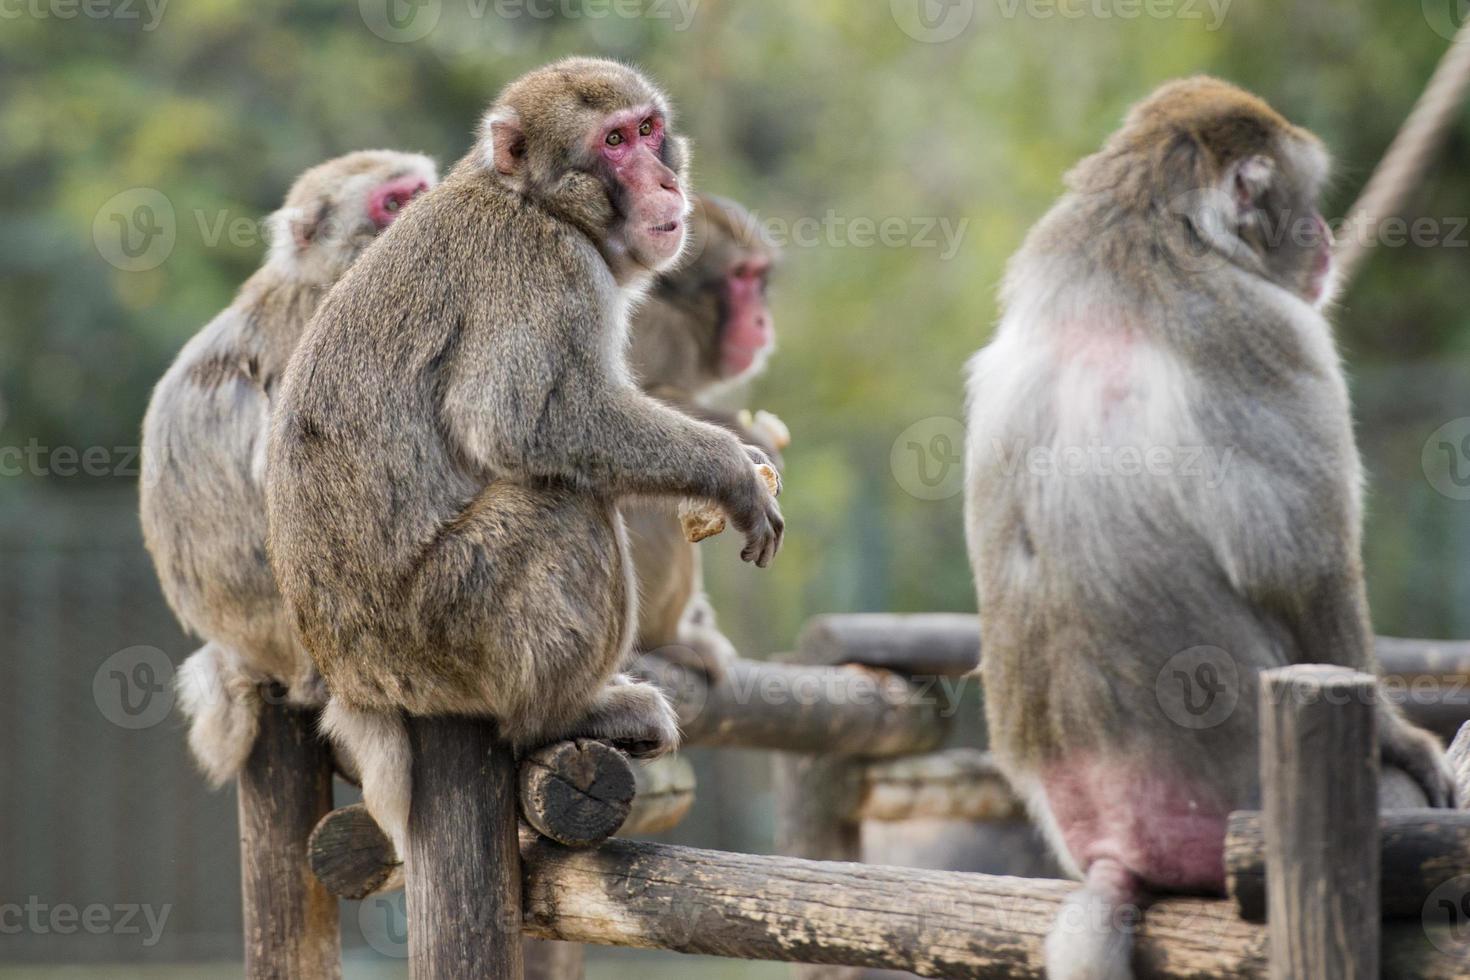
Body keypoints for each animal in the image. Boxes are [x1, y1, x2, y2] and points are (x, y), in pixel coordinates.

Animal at [629, 193, 793, 681]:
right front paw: (748, 445)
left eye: (757, 277)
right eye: (738, 276)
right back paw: (667, 639)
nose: (761, 320)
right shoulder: (657, 328)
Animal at [958, 78, 1452, 980]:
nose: (1326, 235)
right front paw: (1402, 740)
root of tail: (1115, 845)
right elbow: (1299, 567)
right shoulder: (1265, 330)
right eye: (1304, 196)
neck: (1142, 228)